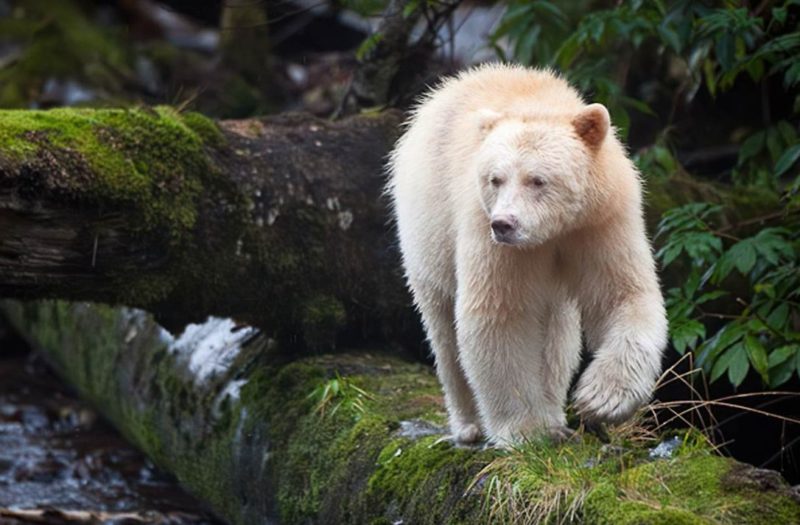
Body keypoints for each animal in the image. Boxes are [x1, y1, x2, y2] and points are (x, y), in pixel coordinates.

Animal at [388, 63, 668, 444]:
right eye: (495, 179)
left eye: (537, 180)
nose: (504, 224)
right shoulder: (487, 233)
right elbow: (500, 314)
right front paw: (525, 429)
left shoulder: (601, 220)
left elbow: (621, 294)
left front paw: (601, 399)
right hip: (428, 232)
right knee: (443, 328)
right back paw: (469, 425)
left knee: (558, 333)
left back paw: (554, 412)